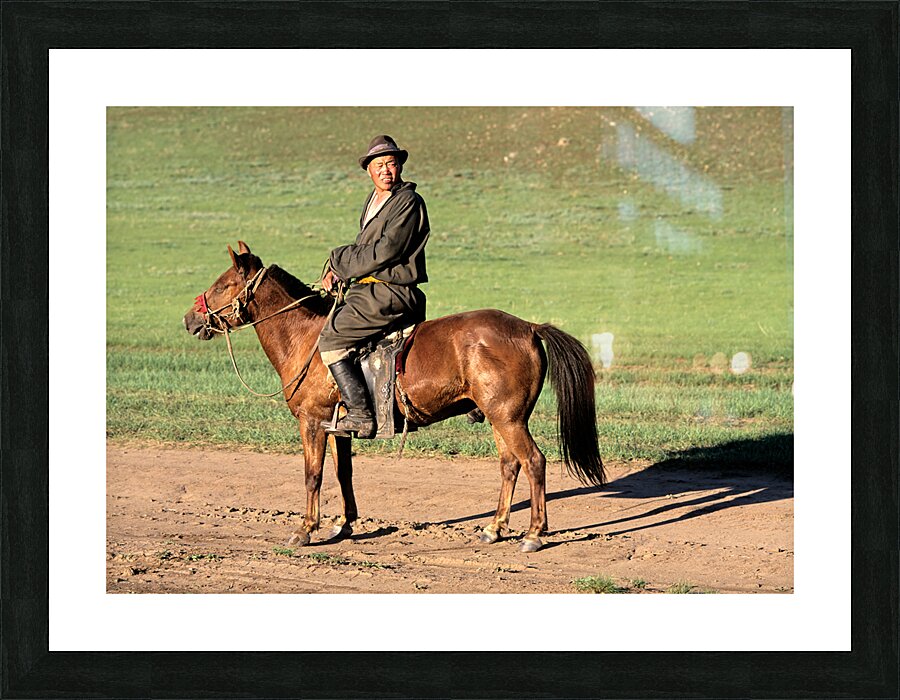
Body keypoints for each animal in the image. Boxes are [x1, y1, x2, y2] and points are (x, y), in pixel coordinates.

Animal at [183, 241, 604, 552]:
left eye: (222, 286)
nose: (189, 319)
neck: (307, 339)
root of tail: (529, 327)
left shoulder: (312, 422)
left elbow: (313, 475)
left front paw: (305, 529)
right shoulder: (338, 428)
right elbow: (343, 473)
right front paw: (344, 524)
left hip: (509, 418)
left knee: (534, 462)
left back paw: (533, 534)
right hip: (501, 419)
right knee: (509, 465)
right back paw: (494, 528)